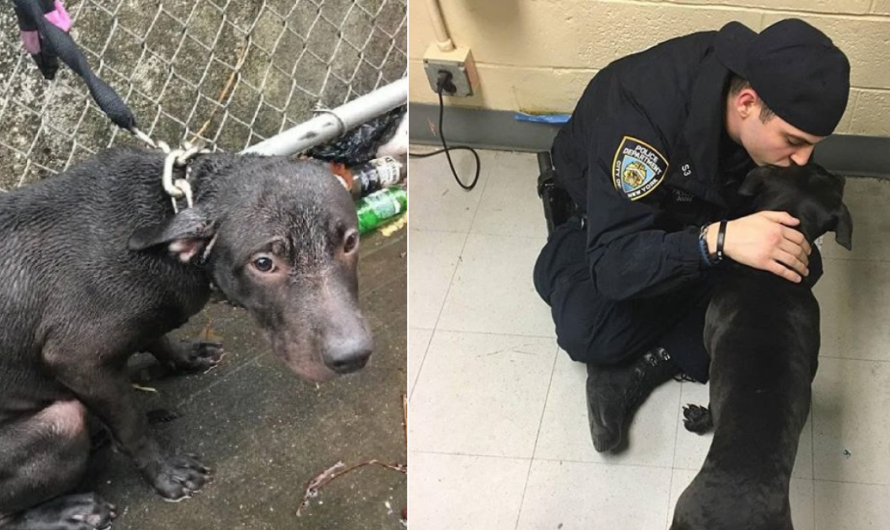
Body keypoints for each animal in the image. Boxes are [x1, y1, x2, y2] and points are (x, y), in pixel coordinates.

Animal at [0, 146, 370, 528]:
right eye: (263, 263)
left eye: (350, 241)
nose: (353, 356)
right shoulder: (78, 360)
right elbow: (133, 426)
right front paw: (166, 474)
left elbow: (157, 338)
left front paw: (185, 357)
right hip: (61, 424)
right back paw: (70, 512)